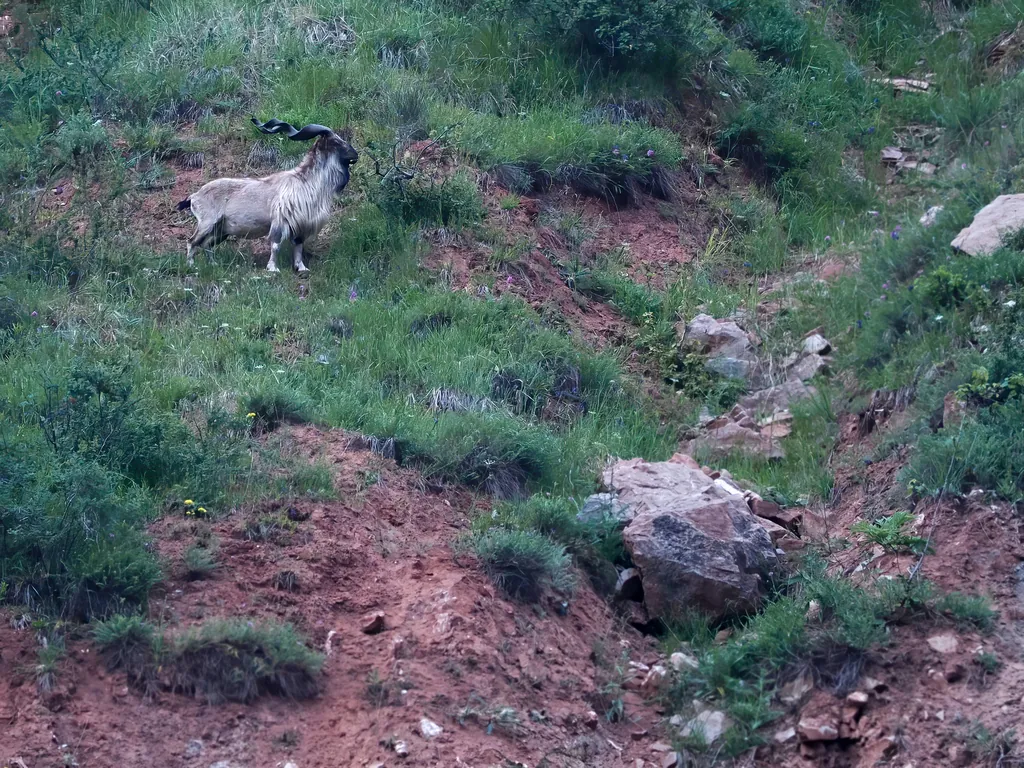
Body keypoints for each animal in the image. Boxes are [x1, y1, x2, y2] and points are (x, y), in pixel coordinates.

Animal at [176, 118, 358, 273]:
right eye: (336, 141)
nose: (355, 155)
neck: (307, 182)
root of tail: (194, 196)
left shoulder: (301, 226)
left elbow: (298, 247)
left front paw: (301, 268)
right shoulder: (280, 221)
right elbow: (275, 245)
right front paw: (273, 269)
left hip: (220, 230)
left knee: (207, 245)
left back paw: (213, 265)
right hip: (206, 223)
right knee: (192, 241)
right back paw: (191, 266)